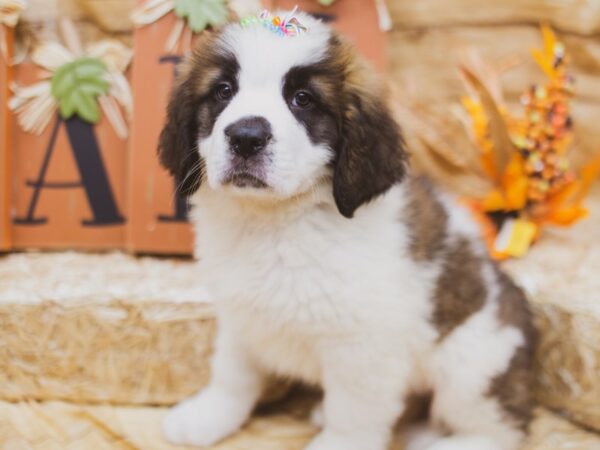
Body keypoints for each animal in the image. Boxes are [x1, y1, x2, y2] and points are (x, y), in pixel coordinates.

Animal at [156, 9, 536, 450]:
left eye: (303, 99)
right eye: (223, 91)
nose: (246, 137)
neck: (276, 224)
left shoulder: (362, 346)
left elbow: (353, 410)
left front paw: (338, 440)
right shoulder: (241, 316)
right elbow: (232, 372)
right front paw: (209, 414)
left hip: (473, 364)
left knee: (498, 428)